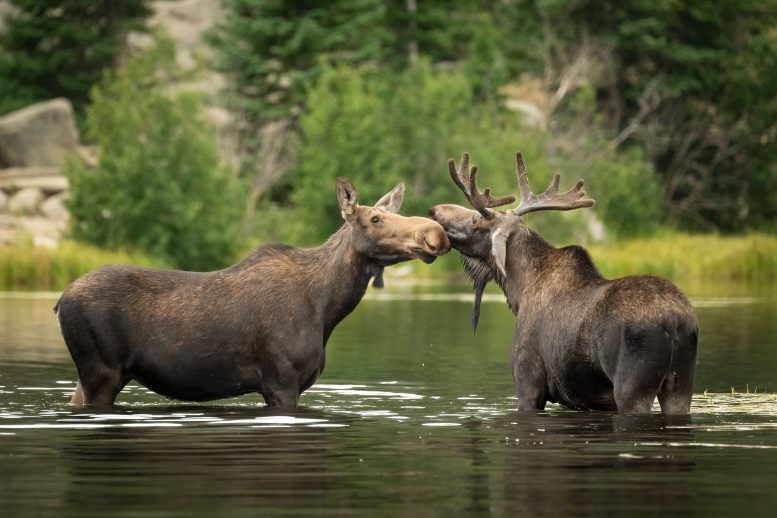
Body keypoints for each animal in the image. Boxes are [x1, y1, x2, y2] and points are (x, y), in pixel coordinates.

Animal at [55, 177, 450, 408]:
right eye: (375, 219)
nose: (435, 233)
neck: (328, 307)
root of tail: (59, 302)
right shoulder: (280, 382)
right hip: (100, 371)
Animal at [427, 152, 698, 415]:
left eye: (475, 220)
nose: (433, 211)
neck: (519, 291)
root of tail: (674, 322)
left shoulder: (528, 382)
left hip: (631, 386)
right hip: (680, 386)